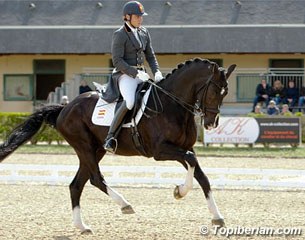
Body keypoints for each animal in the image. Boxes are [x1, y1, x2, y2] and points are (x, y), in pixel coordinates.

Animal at [0, 58, 235, 234]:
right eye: (214, 91)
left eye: (225, 92)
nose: (211, 124)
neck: (173, 105)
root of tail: (64, 108)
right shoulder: (160, 151)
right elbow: (191, 162)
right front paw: (180, 191)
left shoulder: (185, 148)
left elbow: (201, 174)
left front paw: (217, 217)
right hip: (84, 146)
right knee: (95, 179)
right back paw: (124, 204)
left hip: (96, 150)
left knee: (77, 184)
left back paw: (82, 226)